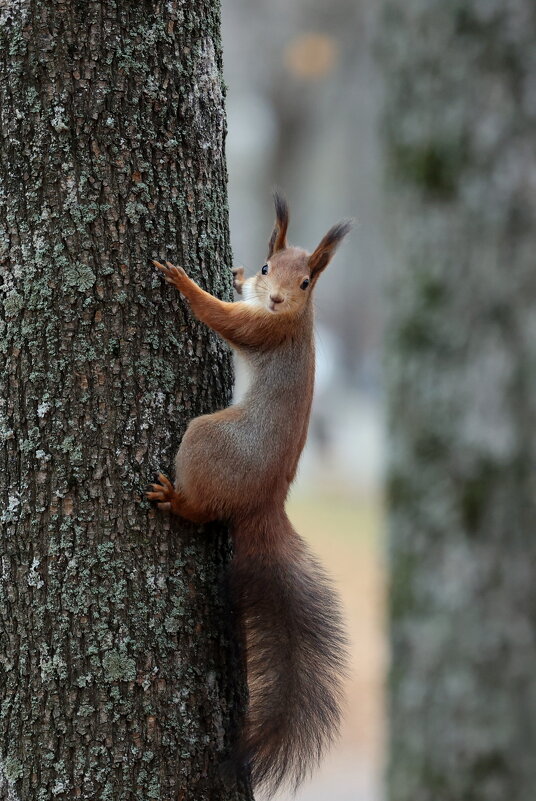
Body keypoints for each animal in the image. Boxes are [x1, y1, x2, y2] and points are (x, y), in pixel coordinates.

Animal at [148, 194, 352, 792]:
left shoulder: (262, 331)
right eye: (266, 267)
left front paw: (183, 281)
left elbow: (220, 317)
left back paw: (175, 499)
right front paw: (233, 275)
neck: (291, 318)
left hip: (206, 438)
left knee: (199, 509)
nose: (277, 297)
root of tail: (266, 504)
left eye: (306, 282)